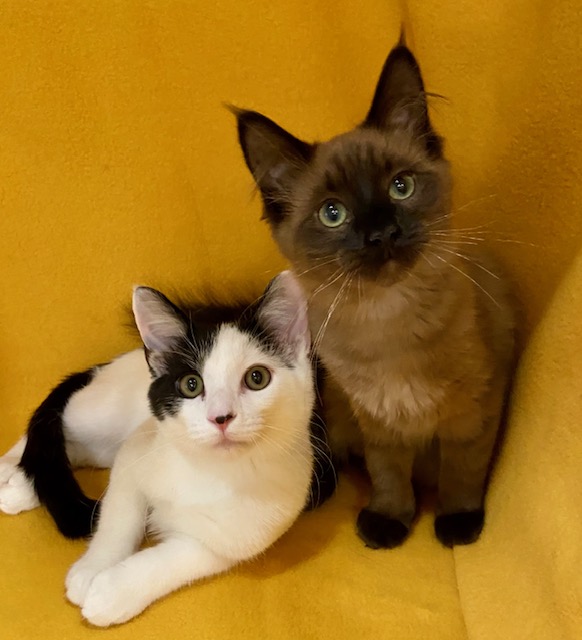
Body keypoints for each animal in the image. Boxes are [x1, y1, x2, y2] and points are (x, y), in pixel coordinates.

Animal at [0, 273, 336, 544]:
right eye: (191, 385)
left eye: (257, 378)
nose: (221, 418)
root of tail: (104, 367)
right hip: (102, 412)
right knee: (58, 421)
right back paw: (10, 471)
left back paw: (17, 487)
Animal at [233, 40, 516, 549]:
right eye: (333, 214)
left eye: (400, 187)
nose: (381, 234)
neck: (387, 323)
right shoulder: (377, 420)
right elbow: (388, 474)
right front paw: (389, 520)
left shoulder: (475, 411)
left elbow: (463, 471)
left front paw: (457, 522)